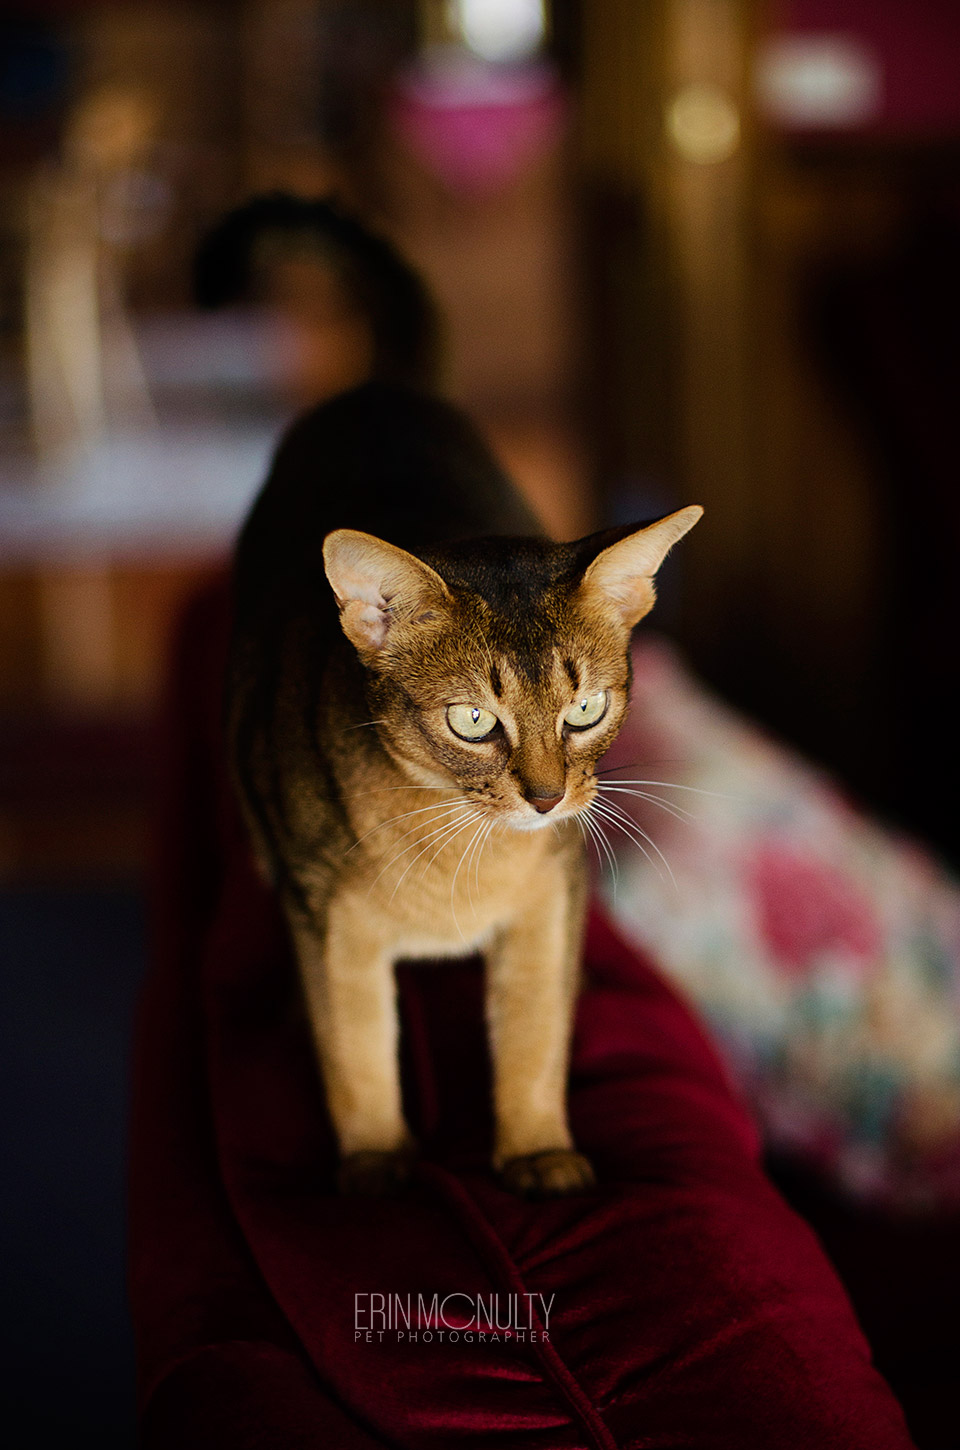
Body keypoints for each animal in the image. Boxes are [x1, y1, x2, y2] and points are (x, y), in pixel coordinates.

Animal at [227, 198, 707, 1194]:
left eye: (585, 710)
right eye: (474, 721)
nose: (548, 798)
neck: (456, 852)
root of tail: (380, 392)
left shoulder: (546, 900)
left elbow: (532, 1032)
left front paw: (537, 1148)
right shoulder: (334, 921)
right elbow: (357, 1046)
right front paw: (377, 1162)